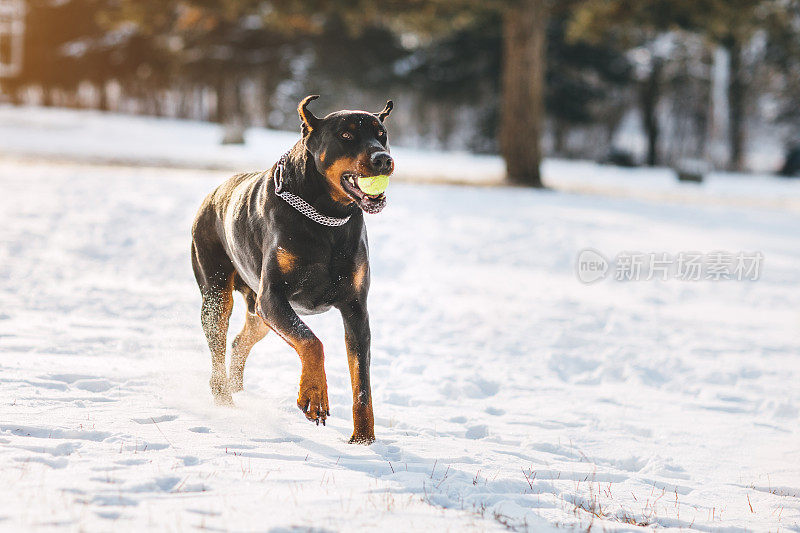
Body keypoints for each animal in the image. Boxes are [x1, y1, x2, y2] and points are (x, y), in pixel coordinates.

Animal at [194, 96, 394, 444]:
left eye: (382, 135)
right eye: (346, 135)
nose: (384, 160)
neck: (328, 217)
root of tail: (213, 194)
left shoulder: (356, 309)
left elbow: (362, 381)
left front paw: (363, 441)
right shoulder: (274, 297)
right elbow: (312, 342)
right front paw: (314, 396)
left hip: (257, 311)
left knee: (240, 341)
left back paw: (236, 388)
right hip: (218, 295)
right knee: (218, 343)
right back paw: (225, 401)